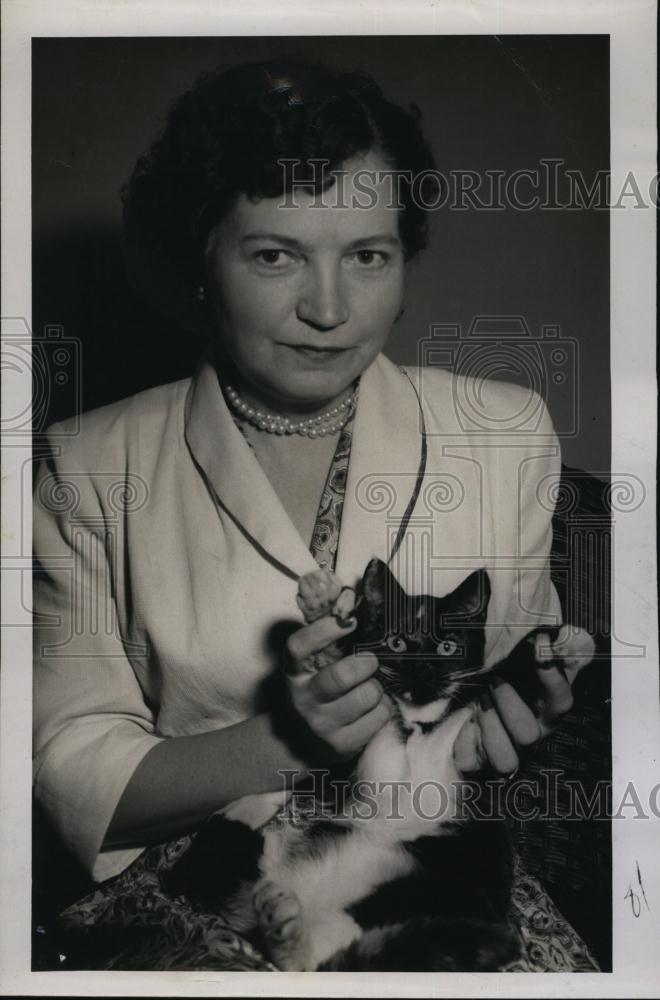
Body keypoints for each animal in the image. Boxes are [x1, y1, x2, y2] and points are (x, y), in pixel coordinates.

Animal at [164, 556, 592, 968]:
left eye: (447, 647)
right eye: (397, 642)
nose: (422, 670)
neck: (418, 717)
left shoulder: (470, 743)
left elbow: (509, 680)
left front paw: (563, 644)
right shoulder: (356, 750)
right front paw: (323, 612)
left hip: (427, 889)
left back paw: (285, 925)